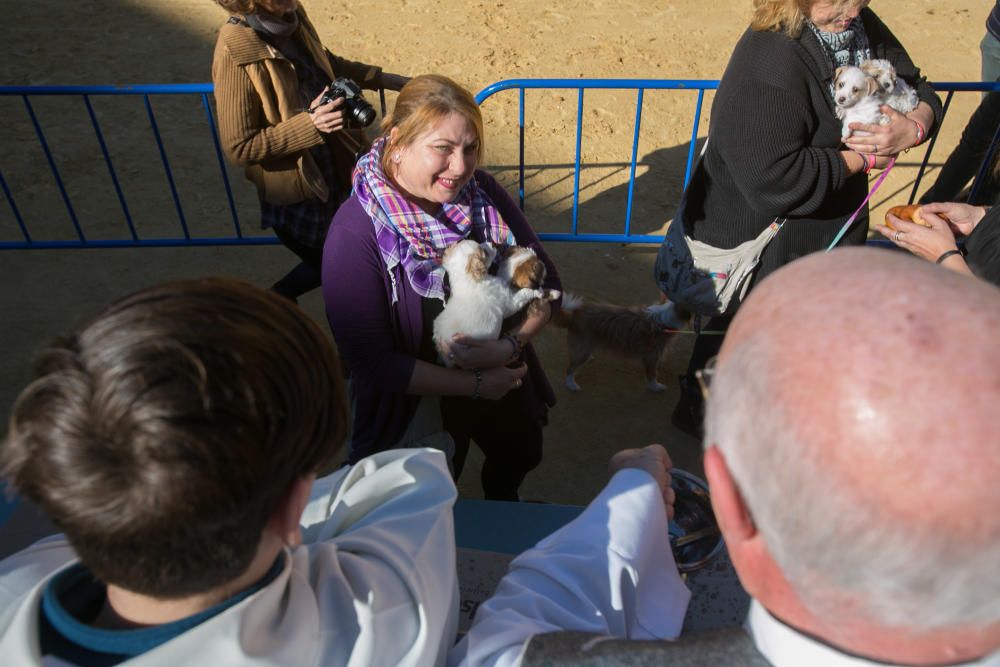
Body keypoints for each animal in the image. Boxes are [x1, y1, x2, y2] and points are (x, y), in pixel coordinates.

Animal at [552, 294, 692, 394]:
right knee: (570, 369)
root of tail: (574, 314)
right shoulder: (651, 356)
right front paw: (655, 387)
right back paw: (571, 384)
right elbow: (653, 374)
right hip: (582, 349)